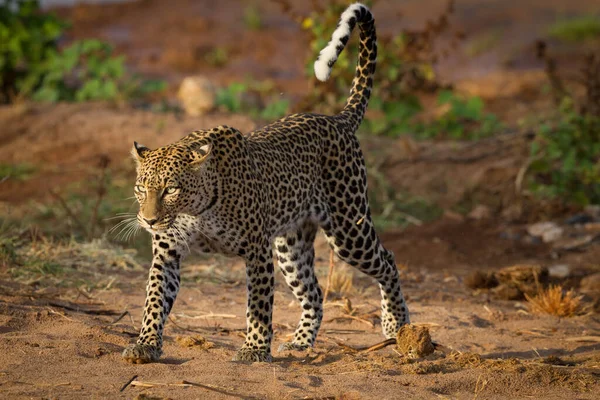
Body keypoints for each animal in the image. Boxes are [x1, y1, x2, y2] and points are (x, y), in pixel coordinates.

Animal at [122, 3, 410, 364]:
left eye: (171, 189)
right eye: (140, 189)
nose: (148, 220)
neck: (196, 211)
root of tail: (337, 119)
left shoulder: (257, 249)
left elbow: (258, 304)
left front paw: (255, 349)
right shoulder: (167, 253)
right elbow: (154, 301)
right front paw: (145, 344)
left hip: (349, 230)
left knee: (388, 260)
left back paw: (397, 324)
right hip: (291, 245)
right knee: (314, 292)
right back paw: (300, 342)